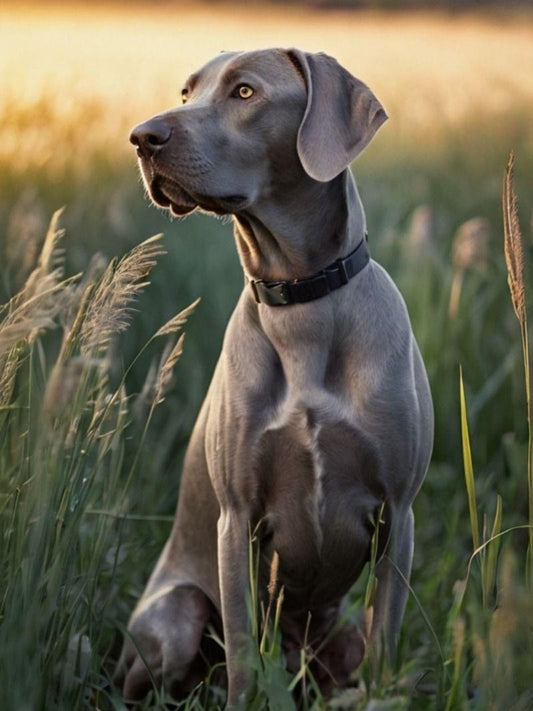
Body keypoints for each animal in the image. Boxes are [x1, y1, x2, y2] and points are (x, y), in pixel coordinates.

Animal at [117, 47, 432, 708]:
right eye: (185, 93)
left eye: (244, 91)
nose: (140, 136)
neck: (301, 302)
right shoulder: (237, 521)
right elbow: (242, 653)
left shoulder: (399, 514)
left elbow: (385, 644)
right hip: (178, 613)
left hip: (338, 637)